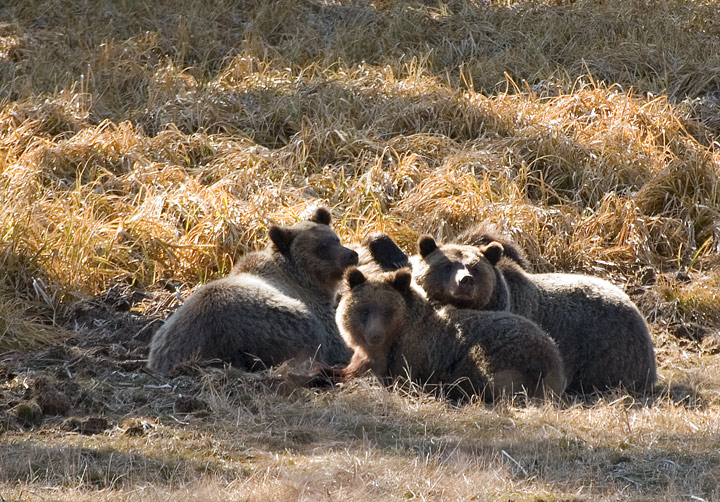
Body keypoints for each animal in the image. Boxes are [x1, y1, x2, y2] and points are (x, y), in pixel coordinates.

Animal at [147, 207, 359, 374]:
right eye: (321, 248)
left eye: (336, 239)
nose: (351, 255)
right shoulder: (316, 308)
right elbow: (336, 340)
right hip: (270, 323)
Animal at [321, 267, 566, 403]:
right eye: (365, 310)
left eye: (387, 311)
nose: (374, 335)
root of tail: (554, 356)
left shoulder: (409, 357)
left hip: (503, 353)